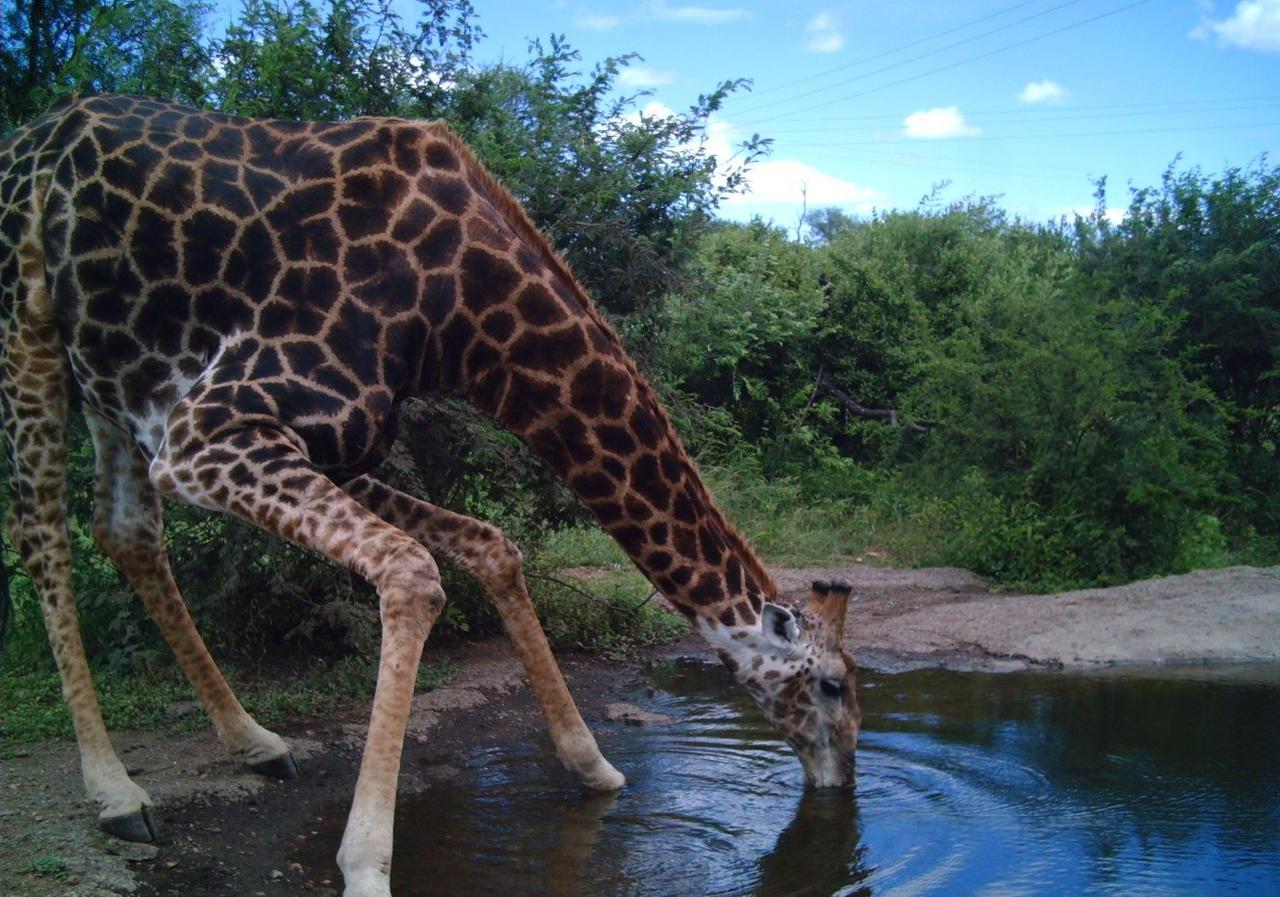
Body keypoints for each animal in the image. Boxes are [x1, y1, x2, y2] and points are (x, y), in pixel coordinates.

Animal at [0, 94, 860, 890]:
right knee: (44, 532)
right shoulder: (206, 431)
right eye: (832, 684)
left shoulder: (338, 445)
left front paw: (594, 767)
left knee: (124, 529)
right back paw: (116, 791)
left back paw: (255, 741)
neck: (459, 311)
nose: (842, 787)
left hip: (115, 378)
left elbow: (491, 544)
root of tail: (29, 132)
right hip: (29, 323)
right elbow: (412, 572)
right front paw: (366, 866)